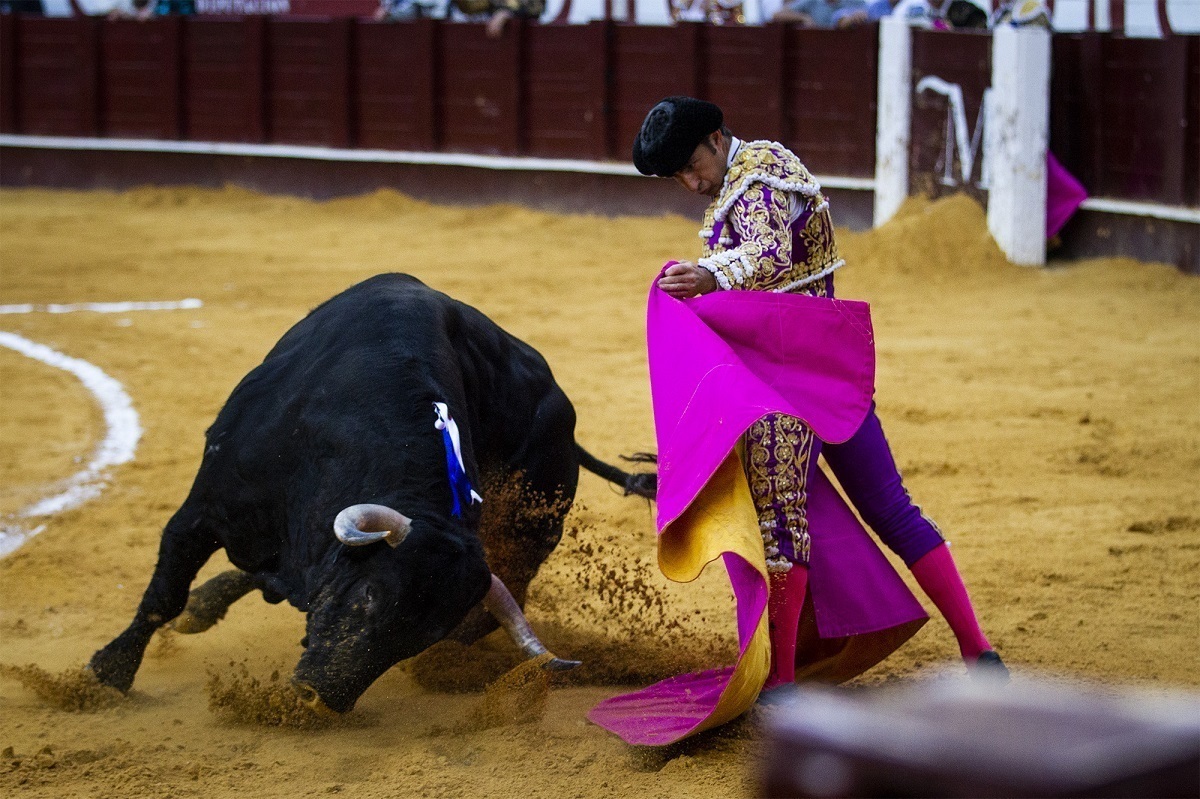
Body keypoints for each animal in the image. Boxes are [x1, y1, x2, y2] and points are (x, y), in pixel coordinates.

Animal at [90, 273, 657, 710]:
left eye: (421, 638)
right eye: (367, 596)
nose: (319, 699)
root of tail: (566, 424)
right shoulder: (202, 511)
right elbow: (163, 595)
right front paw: (107, 673)